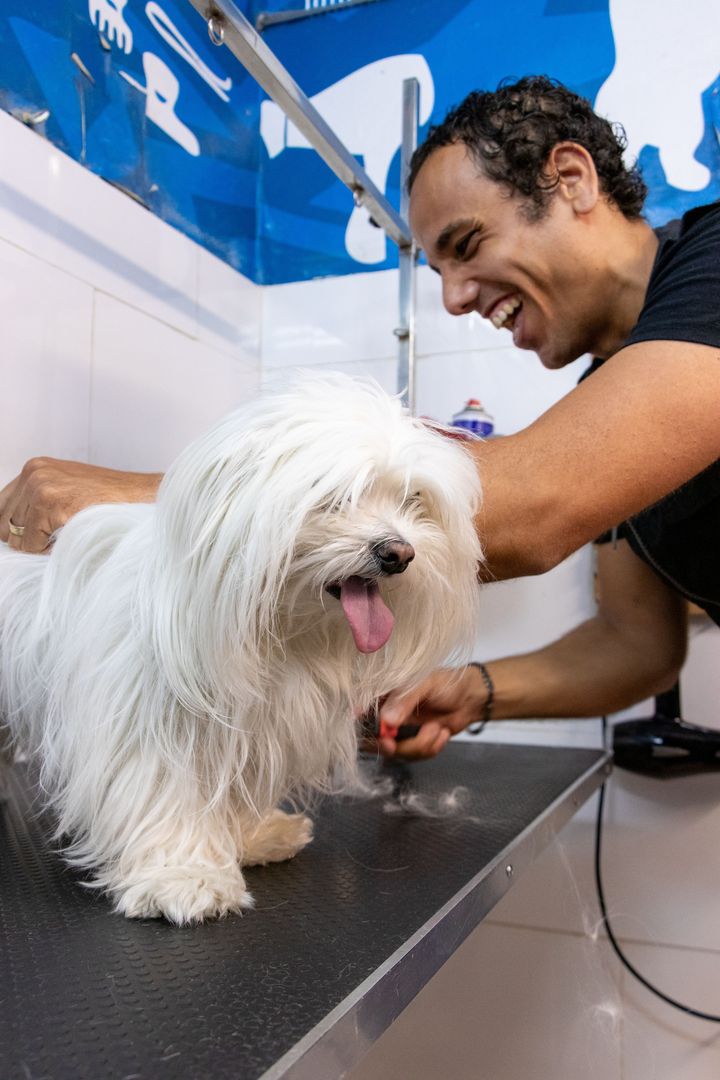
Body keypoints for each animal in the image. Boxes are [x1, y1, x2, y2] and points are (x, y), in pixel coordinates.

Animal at [2, 375, 483, 924]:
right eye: (336, 495)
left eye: (413, 499)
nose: (398, 553)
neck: (278, 629)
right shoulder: (149, 723)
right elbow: (164, 792)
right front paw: (182, 875)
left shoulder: (253, 725)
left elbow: (233, 791)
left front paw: (253, 837)